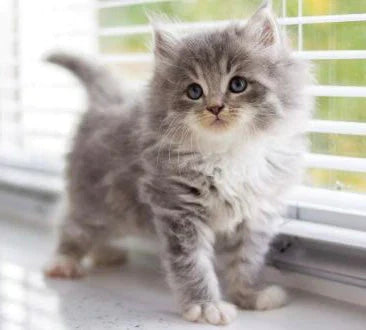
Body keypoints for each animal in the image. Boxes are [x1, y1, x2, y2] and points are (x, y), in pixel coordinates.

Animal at [44, 2, 314, 326]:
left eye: (238, 84)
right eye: (194, 91)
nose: (215, 107)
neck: (227, 153)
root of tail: (107, 102)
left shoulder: (256, 215)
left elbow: (246, 261)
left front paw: (249, 296)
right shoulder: (179, 210)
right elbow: (193, 265)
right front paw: (205, 306)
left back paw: (107, 254)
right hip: (92, 198)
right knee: (71, 224)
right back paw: (64, 260)